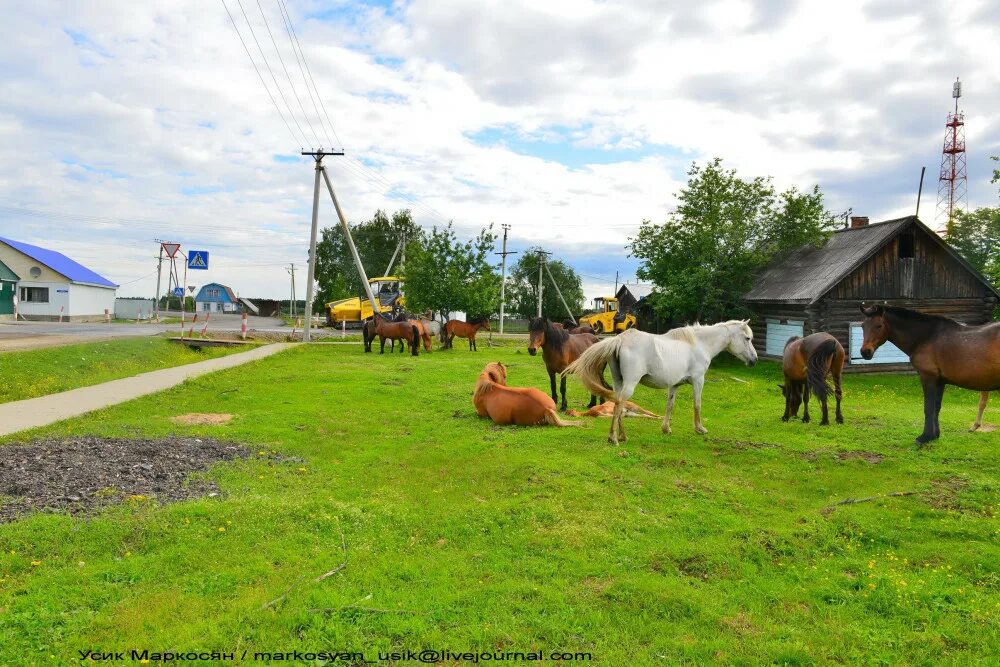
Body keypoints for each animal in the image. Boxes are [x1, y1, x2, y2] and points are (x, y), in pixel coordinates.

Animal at [568, 322, 752, 446]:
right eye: (747, 338)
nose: (754, 359)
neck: (699, 344)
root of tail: (619, 339)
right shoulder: (698, 380)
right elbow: (697, 404)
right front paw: (700, 429)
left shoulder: (674, 385)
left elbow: (670, 406)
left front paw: (666, 429)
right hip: (630, 384)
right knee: (619, 404)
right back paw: (613, 438)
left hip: (619, 383)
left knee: (617, 404)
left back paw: (622, 436)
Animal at [860, 304, 1000, 444]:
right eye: (862, 326)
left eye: (879, 325)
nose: (865, 352)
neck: (926, 337)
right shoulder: (940, 381)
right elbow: (936, 408)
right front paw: (934, 435)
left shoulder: (928, 377)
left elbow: (928, 408)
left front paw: (924, 437)